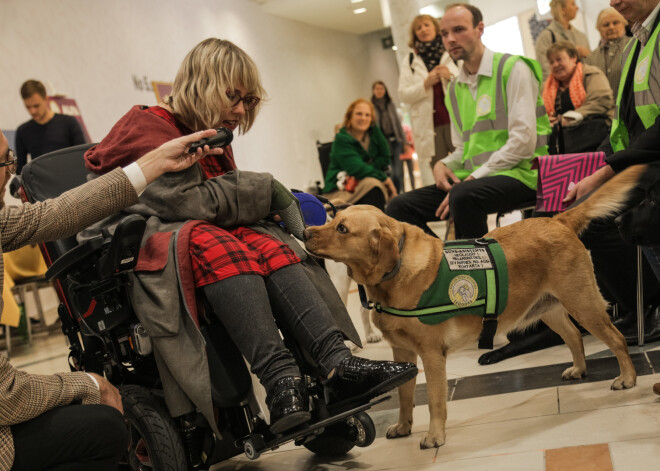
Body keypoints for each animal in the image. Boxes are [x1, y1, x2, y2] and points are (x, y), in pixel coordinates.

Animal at [306, 166, 644, 450]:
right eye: (331, 221)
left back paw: (627, 378)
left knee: (616, 339)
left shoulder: (431, 354)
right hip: (550, 309)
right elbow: (405, 396)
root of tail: (557, 219)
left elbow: (434, 401)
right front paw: (403, 426)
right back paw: (580, 369)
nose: (307, 232)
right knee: (574, 337)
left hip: (583, 303)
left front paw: (434, 436)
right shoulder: (402, 353)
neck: (393, 275)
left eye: (342, 228)